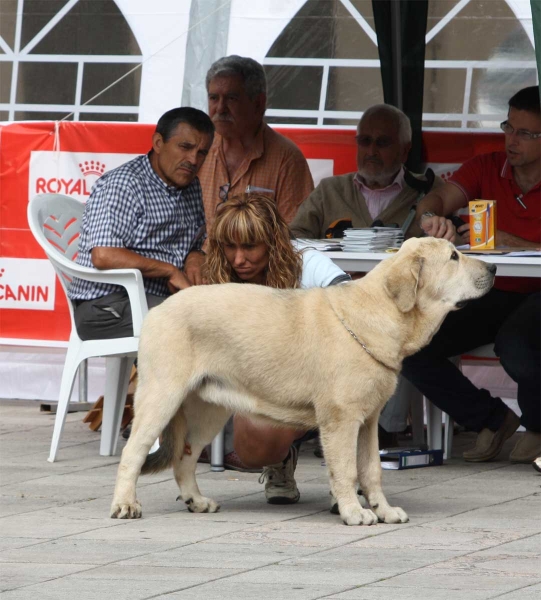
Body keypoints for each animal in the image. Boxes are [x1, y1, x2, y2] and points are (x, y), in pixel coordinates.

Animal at [112, 238, 496, 524]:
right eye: (454, 256)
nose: (493, 268)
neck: (383, 314)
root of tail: (158, 310)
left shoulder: (368, 422)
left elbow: (371, 470)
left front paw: (383, 510)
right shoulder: (341, 421)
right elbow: (346, 470)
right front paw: (354, 512)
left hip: (209, 411)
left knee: (185, 458)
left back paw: (196, 500)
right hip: (161, 397)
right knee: (133, 452)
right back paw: (125, 504)